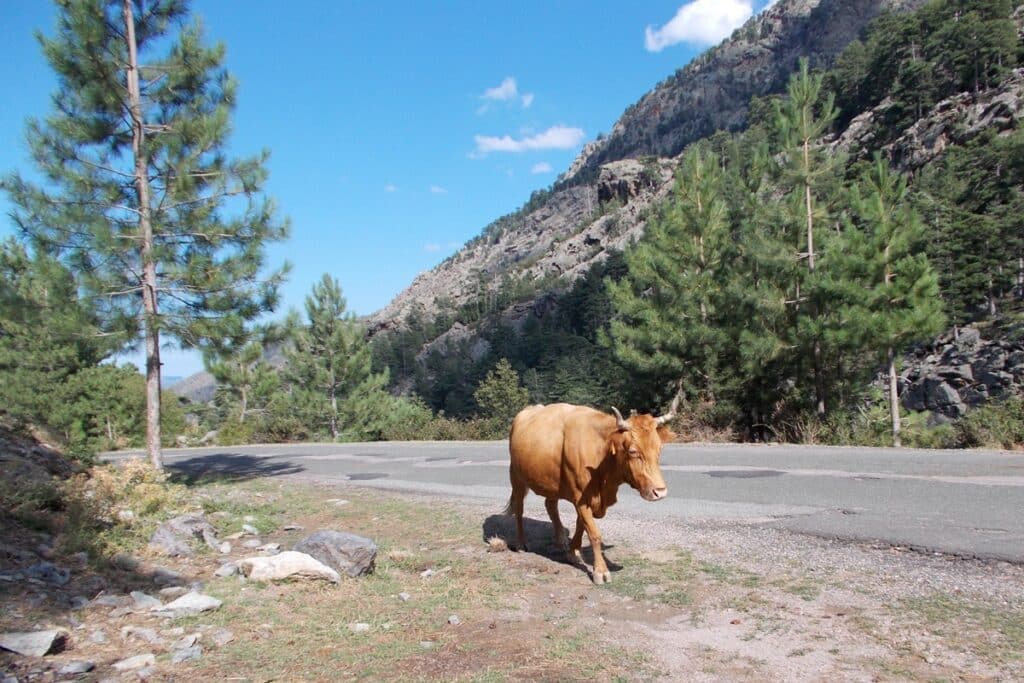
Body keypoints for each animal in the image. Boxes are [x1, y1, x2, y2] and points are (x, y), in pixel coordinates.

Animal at [505, 397, 679, 585]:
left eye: (659, 448)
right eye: (633, 451)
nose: (660, 492)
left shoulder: (586, 499)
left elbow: (581, 525)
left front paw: (573, 552)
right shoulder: (580, 497)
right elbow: (594, 533)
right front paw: (600, 571)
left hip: (550, 482)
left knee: (550, 505)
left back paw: (561, 539)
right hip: (516, 477)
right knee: (519, 510)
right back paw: (521, 544)